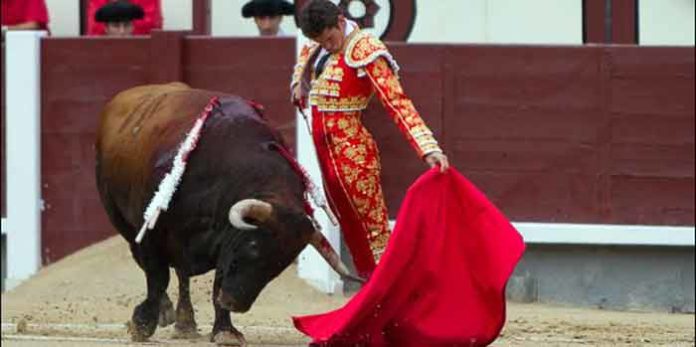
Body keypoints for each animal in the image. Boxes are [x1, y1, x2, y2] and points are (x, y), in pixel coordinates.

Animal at [95, 83, 356, 344]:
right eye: (253, 246)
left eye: (280, 264)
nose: (235, 303)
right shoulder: (151, 231)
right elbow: (158, 277)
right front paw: (142, 324)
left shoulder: (224, 243)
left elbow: (216, 282)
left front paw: (225, 330)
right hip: (122, 222)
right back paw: (166, 312)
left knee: (181, 273)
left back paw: (185, 323)